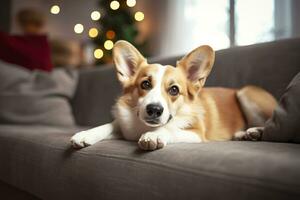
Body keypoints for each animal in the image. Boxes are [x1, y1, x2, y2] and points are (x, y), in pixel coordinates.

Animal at [70, 40, 276, 150]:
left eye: (174, 90)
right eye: (145, 84)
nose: (154, 110)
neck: (143, 126)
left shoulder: (196, 134)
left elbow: (170, 129)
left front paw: (153, 136)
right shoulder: (124, 126)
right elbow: (108, 125)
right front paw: (85, 134)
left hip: (246, 92)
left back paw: (255, 131)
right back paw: (244, 134)